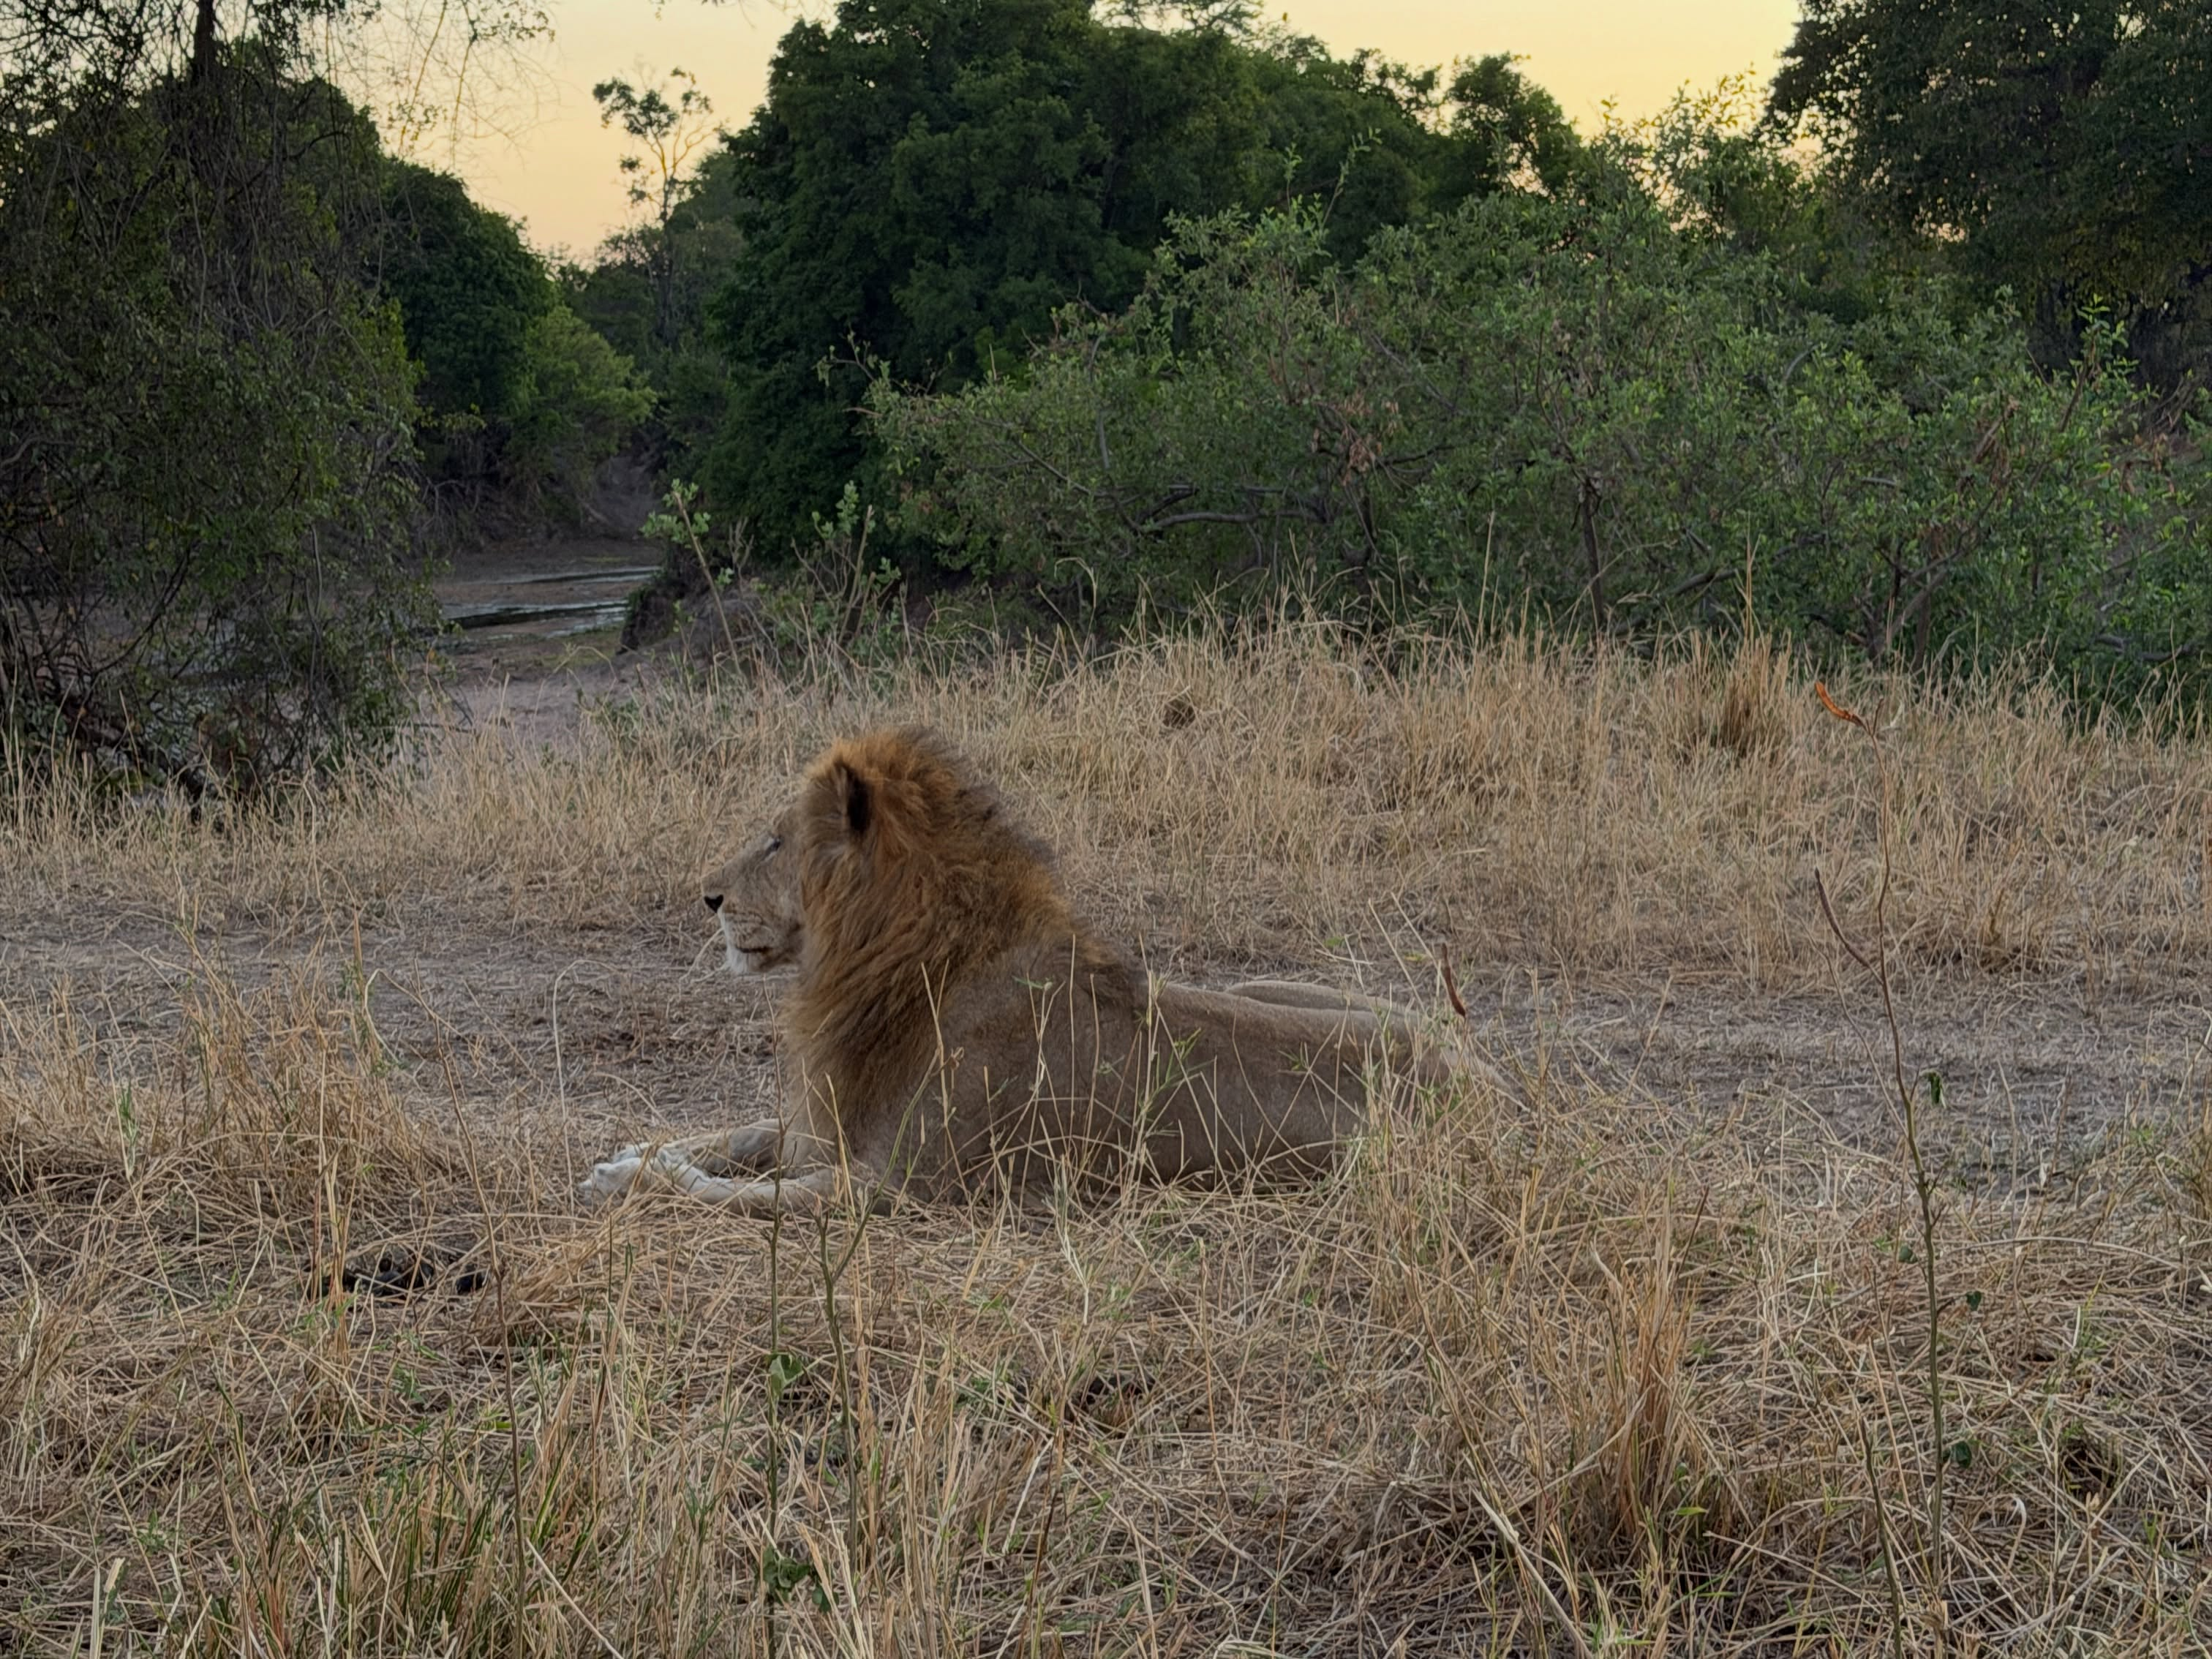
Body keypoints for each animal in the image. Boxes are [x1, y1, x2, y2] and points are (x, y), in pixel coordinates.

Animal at [581, 726, 1476, 1215]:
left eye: (775, 841)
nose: (707, 897)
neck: (895, 960)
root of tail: (1489, 1079)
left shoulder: (892, 1186)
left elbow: (722, 1192)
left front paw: (636, 1179)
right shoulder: (829, 1129)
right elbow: (736, 1134)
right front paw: (630, 1153)